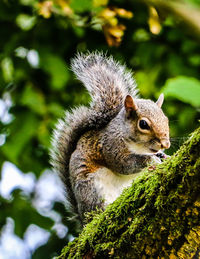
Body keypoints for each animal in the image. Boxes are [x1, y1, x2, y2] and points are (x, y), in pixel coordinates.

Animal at [50, 51, 170, 222]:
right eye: (143, 124)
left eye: (166, 119)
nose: (165, 144)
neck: (140, 147)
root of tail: (83, 219)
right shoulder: (111, 145)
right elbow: (124, 164)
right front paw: (150, 160)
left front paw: (164, 156)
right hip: (92, 189)